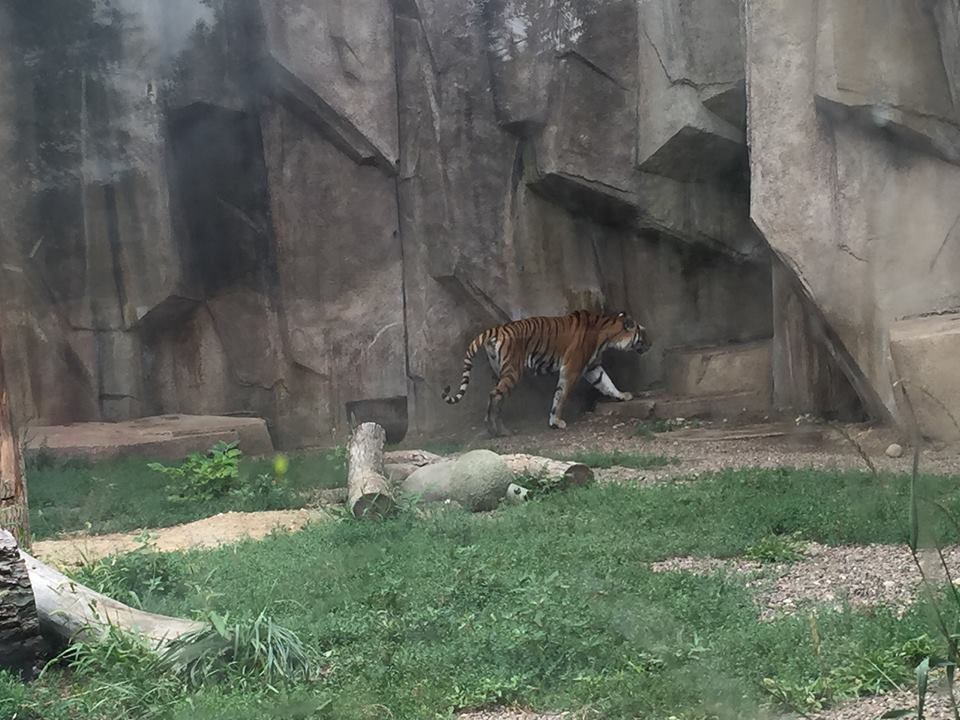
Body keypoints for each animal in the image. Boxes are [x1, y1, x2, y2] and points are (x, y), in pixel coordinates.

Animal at [442, 310, 652, 437]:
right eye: (643, 333)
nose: (651, 344)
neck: (607, 333)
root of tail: (498, 329)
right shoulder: (573, 367)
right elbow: (561, 395)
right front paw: (556, 421)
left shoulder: (593, 367)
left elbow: (606, 383)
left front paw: (622, 395)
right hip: (513, 370)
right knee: (494, 395)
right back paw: (497, 430)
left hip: (499, 370)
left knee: (497, 396)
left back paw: (498, 427)